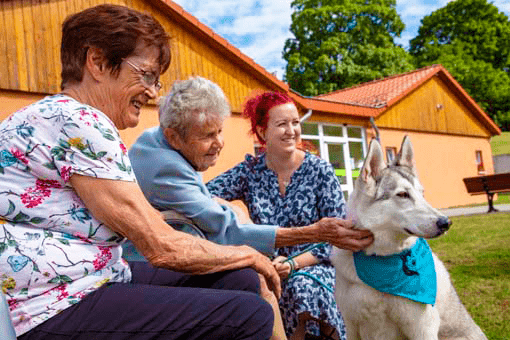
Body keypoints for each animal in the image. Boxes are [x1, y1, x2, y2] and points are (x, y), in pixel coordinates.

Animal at [330, 136, 486, 340]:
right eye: (403, 194)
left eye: (422, 193)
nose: (446, 223)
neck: (382, 260)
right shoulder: (351, 326)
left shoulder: (422, 328)